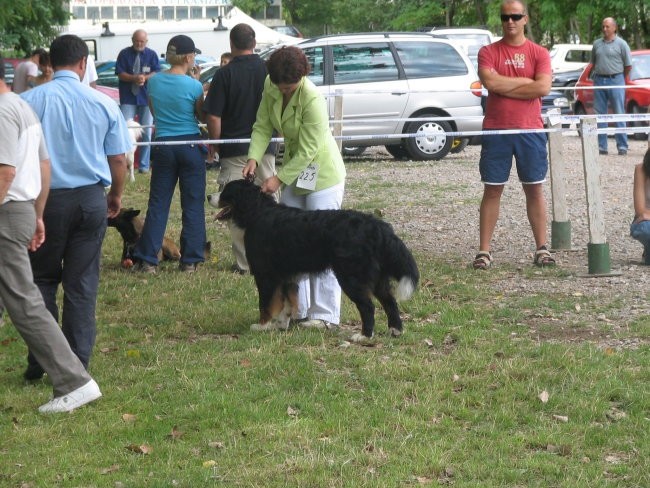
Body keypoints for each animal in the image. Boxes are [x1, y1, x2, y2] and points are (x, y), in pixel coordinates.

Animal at [210, 179, 418, 340]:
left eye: (226, 191)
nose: (208, 197)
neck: (257, 212)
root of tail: (377, 225)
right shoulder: (286, 274)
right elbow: (287, 302)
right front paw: (281, 324)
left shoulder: (265, 274)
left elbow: (266, 304)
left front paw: (262, 325)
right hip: (376, 277)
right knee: (390, 301)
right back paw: (395, 330)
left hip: (351, 276)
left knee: (368, 306)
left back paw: (364, 336)